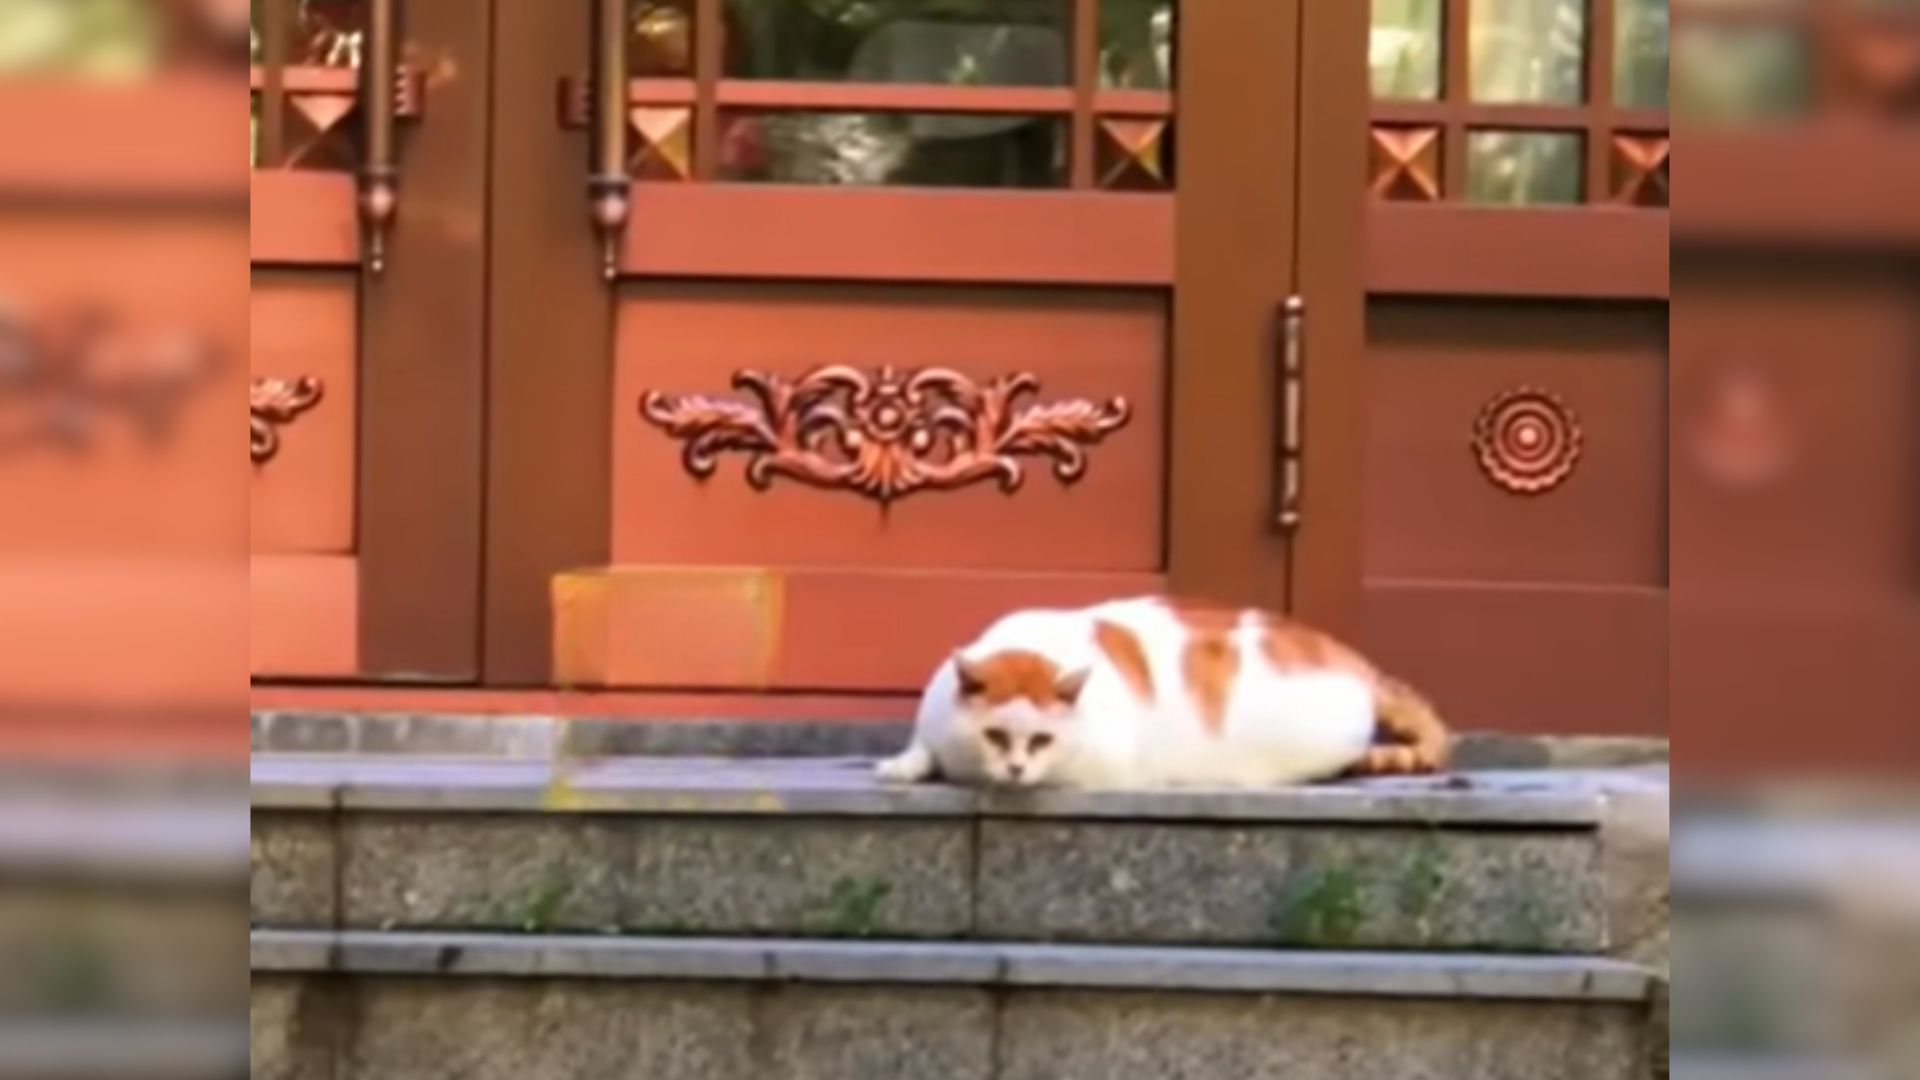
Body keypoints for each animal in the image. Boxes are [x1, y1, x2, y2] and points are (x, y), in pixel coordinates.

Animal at [879, 591, 1443, 787]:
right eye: (995, 735)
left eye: (1041, 740)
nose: (1016, 769)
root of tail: (1353, 659)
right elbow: (922, 745)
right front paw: (903, 765)